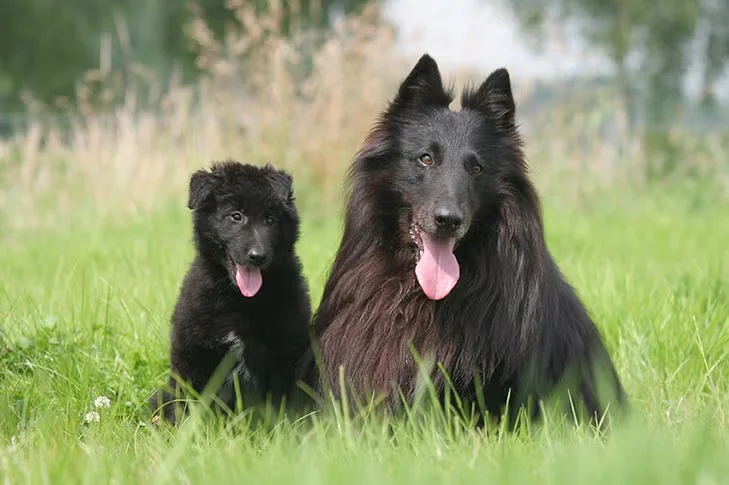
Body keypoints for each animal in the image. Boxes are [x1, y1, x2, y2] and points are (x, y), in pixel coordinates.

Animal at [152, 160, 312, 424]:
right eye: (236, 216)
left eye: (270, 219)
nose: (257, 256)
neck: (240, 300)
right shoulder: (192, 355)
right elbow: (188, 405)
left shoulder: (283, 355)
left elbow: (278, 407)